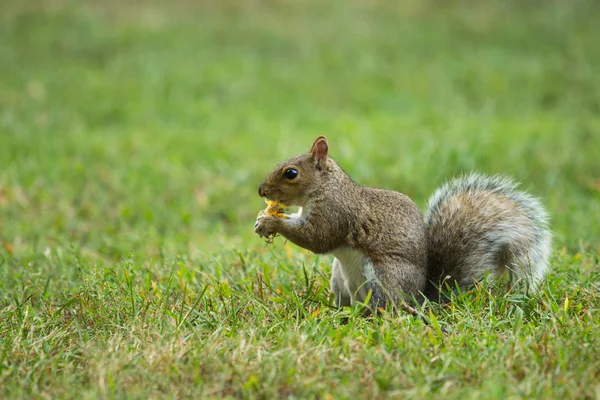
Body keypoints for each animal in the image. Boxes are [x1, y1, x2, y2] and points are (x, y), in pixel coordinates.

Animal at [254, 136, 552, 310]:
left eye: (291, 173)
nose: (261, 190)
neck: (326, 186)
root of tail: (420, 298)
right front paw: (262, 220)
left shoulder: (336, 213)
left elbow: (318, 239)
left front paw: (272, 224)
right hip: (340, 278)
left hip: (381, 277)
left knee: (388, 309)